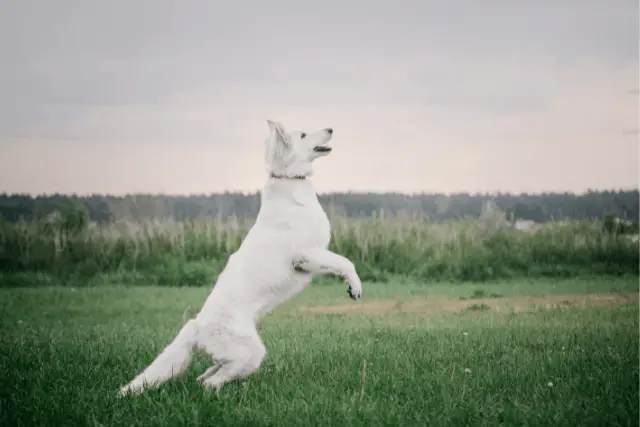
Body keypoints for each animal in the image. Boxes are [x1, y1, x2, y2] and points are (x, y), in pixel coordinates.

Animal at [118, 120, 362, 398]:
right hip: (251, 353)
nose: (331, 129)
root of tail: (198, 326)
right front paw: (355, 287)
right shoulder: (306, 254)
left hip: (236, 355)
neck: (289, 181)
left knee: (208, 373)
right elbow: (346, 262)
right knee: (212, 381)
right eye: (302, 134)